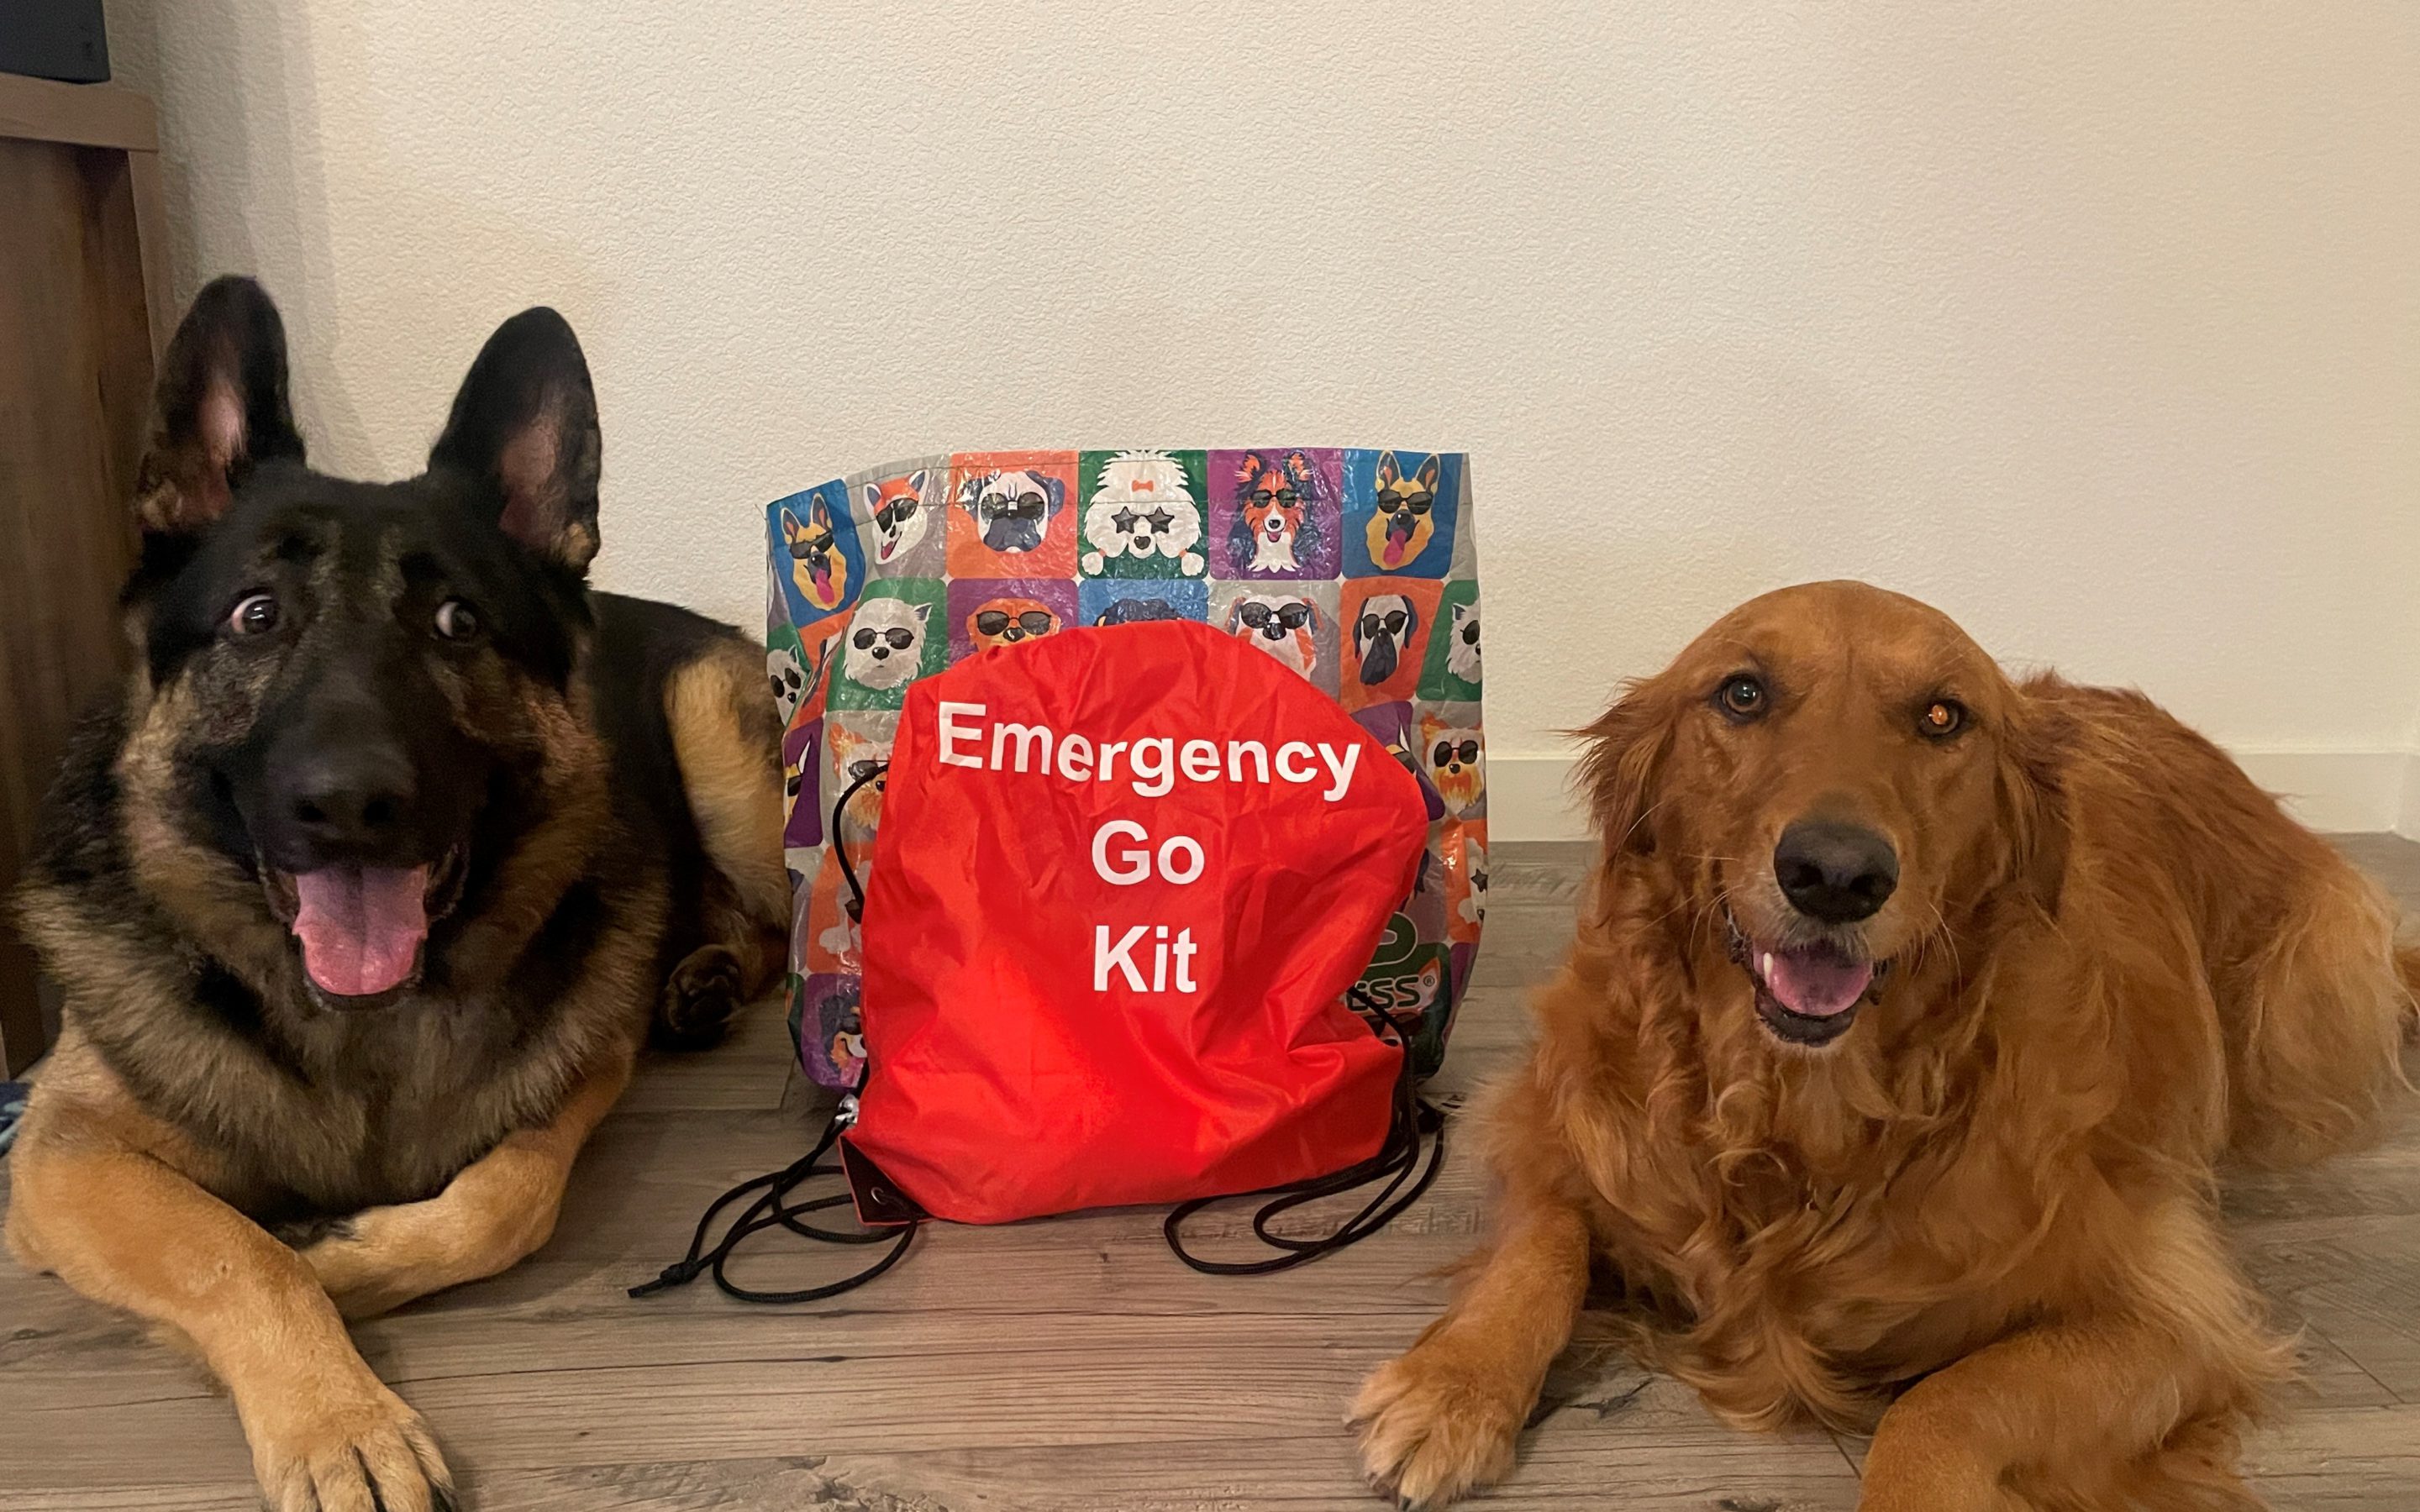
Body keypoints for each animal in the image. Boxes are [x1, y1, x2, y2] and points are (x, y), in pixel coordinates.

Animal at [4, 278, 788, 1512]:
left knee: (777, 919)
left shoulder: (578, 1076)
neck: (358, 1029)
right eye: (257, 615)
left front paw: (346, 1265)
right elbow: (236, 1251)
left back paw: (706, 975)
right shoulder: (62, 1155)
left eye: (457, 622)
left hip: (716, 747)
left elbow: (504, 1201)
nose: (349, 804)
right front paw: (339, 1422)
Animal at [1354, 580, 2415, 1509]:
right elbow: (1542, 1245)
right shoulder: (1555, 1122)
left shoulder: (2172, 1314)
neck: (1797, 1117)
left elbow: (1941, 1406)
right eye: (1743, 693)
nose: (1834, 874)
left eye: (1943, 717)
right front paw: (1453, 1386)